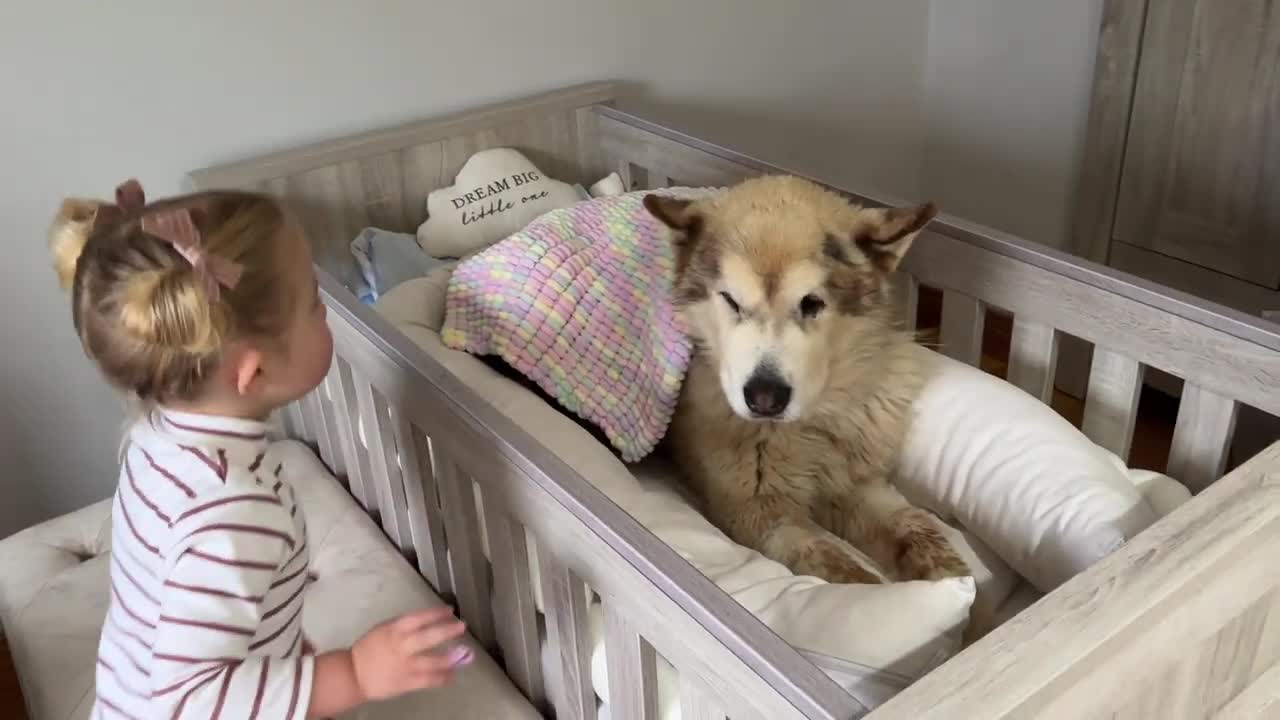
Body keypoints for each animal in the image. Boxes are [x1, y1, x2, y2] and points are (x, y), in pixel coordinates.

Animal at [645, 174, 962, 584]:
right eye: (731, 300)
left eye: (812, 303)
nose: (764, 397)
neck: (807, 427)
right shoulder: (756, 513)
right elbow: (840, 569)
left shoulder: (855, 483)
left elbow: (915, 528)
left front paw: (959, 584)